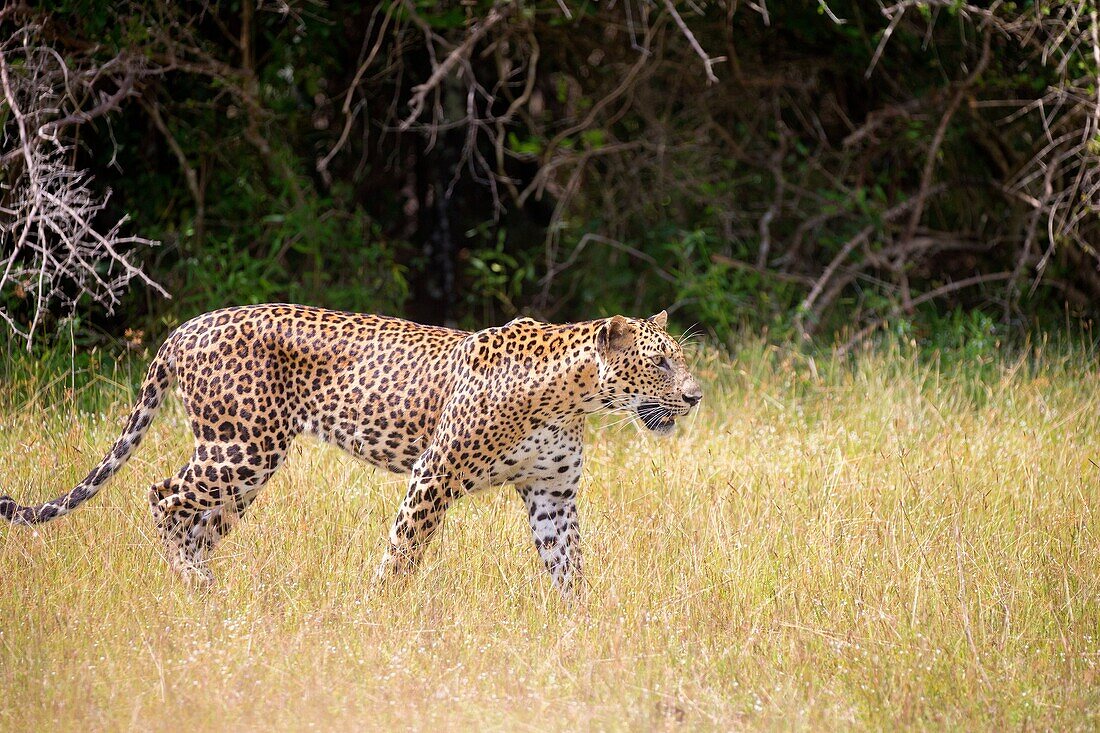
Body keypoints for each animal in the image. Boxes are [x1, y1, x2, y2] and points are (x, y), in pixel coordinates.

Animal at [0, 303, 699, 594]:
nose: (695, 397)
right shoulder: (434, 475)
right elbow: (403, 552)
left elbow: (569, 566)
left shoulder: (552, 494)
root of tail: (182, 330)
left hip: (245, 469)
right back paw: (192, 582)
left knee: (197, 521)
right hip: (242, 447)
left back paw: (206, 597)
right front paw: (378, 613)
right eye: (661, 362)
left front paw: (581, 630)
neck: (574, 396)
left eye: (680, 360)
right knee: (162, 494)